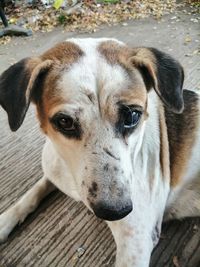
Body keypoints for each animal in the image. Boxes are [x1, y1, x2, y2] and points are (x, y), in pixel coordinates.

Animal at [0, 38, 199, 267]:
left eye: (132, 116)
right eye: (65, 122)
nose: (115, 211)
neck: (68, 172)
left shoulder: (136, 242)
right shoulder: (53, 170)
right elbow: (33, 192)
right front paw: (5, 220)